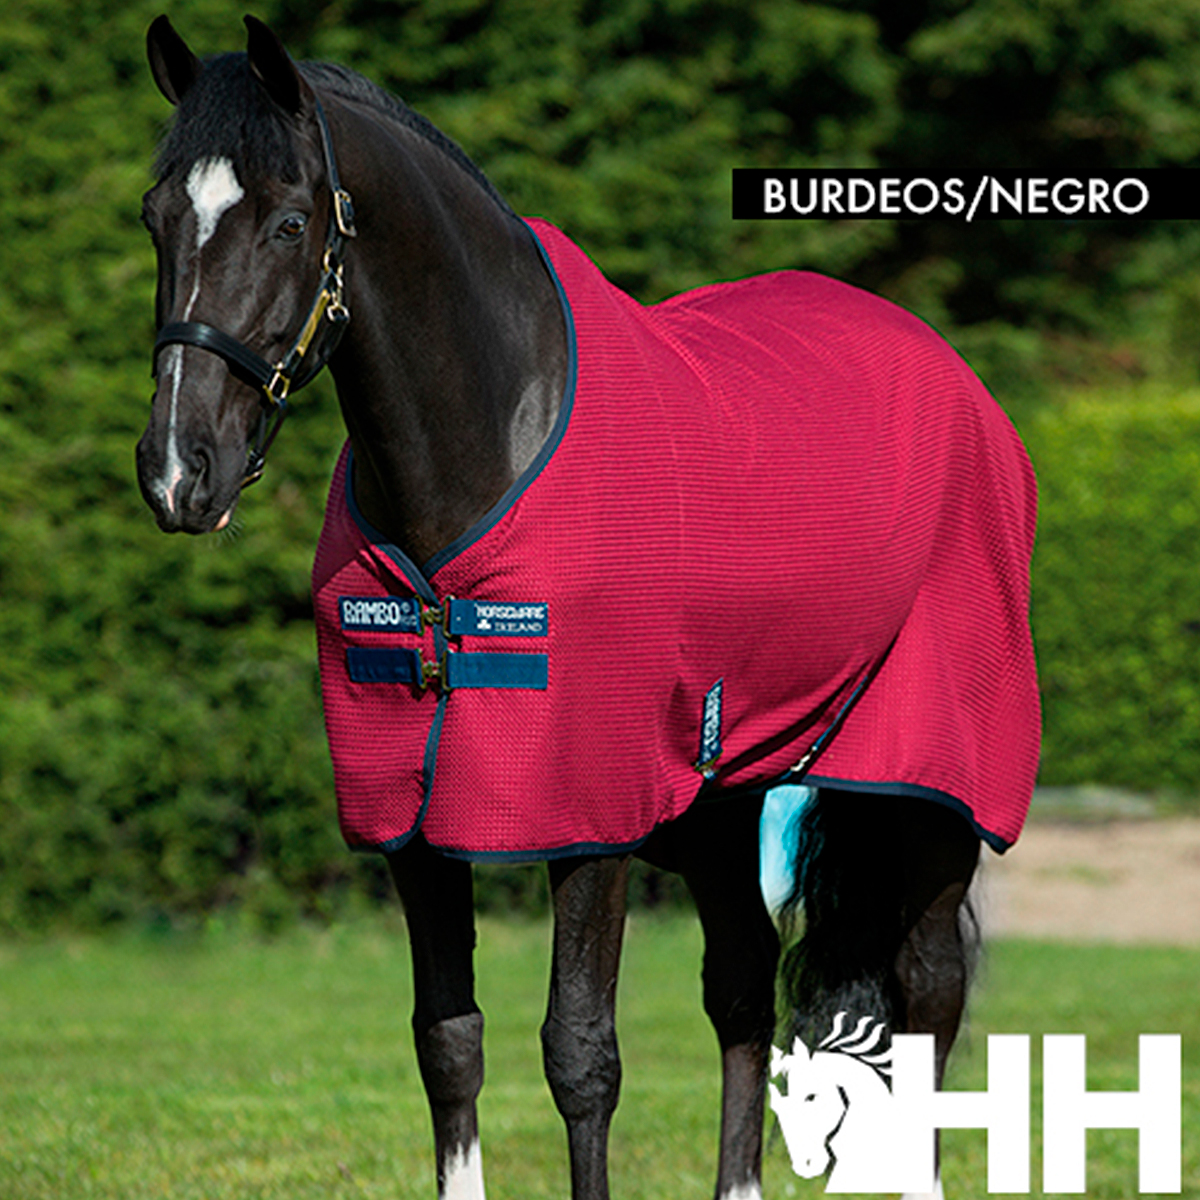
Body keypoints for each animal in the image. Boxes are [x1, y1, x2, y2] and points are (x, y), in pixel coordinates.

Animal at [135, 16, 1039, 1200]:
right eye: (156, 217)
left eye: (289, 221)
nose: (176, 471)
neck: (481, 461)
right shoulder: (411, 813)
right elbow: (448, 1042)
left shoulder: (588, 813)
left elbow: (579, 1053)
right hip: (722, 801)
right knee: (743, 986)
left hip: (933, 786)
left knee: (927, 995)